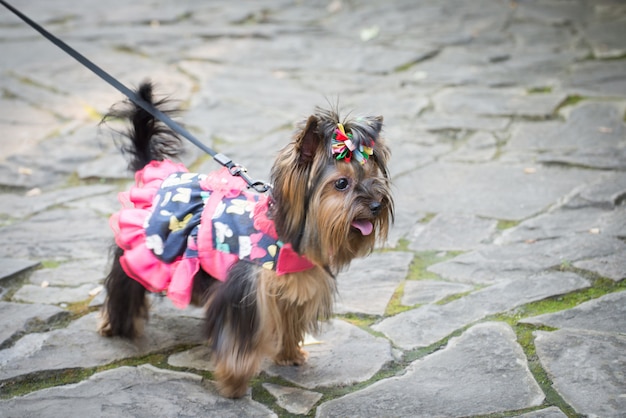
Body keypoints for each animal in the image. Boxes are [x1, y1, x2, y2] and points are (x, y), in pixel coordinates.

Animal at [99, 82, 392, 398]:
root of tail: (153, 169)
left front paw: (290, 355)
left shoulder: (295, 286)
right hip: (145, 244)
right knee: (124, 280)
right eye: (341, 184)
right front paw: (234, 383)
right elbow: (239, 342)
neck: (284, 236)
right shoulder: (243, 293)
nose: (377, 204)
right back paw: (118, 326)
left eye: (374, 177)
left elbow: (289, 322)